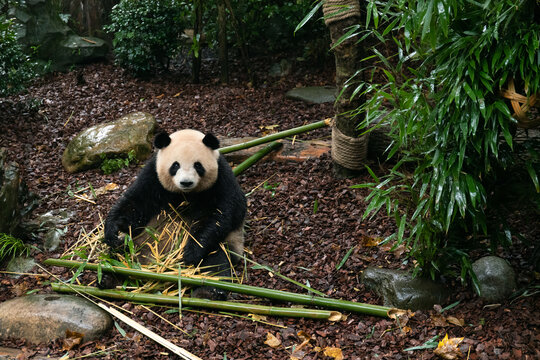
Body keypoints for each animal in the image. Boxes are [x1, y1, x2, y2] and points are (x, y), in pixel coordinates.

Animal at [104, 129, 247, 298]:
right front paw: (113, 230)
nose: (186, 182)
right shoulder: (152, 176)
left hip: (227, 243)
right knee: (120, 254)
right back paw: (110, 276)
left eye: (198, 165)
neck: (185, 194)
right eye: (175, 165)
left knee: (215, 263)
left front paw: (191, 252)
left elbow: (221, 215)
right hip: (139, 243)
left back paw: (207, 292)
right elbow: (135, 203)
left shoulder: (222, 179)